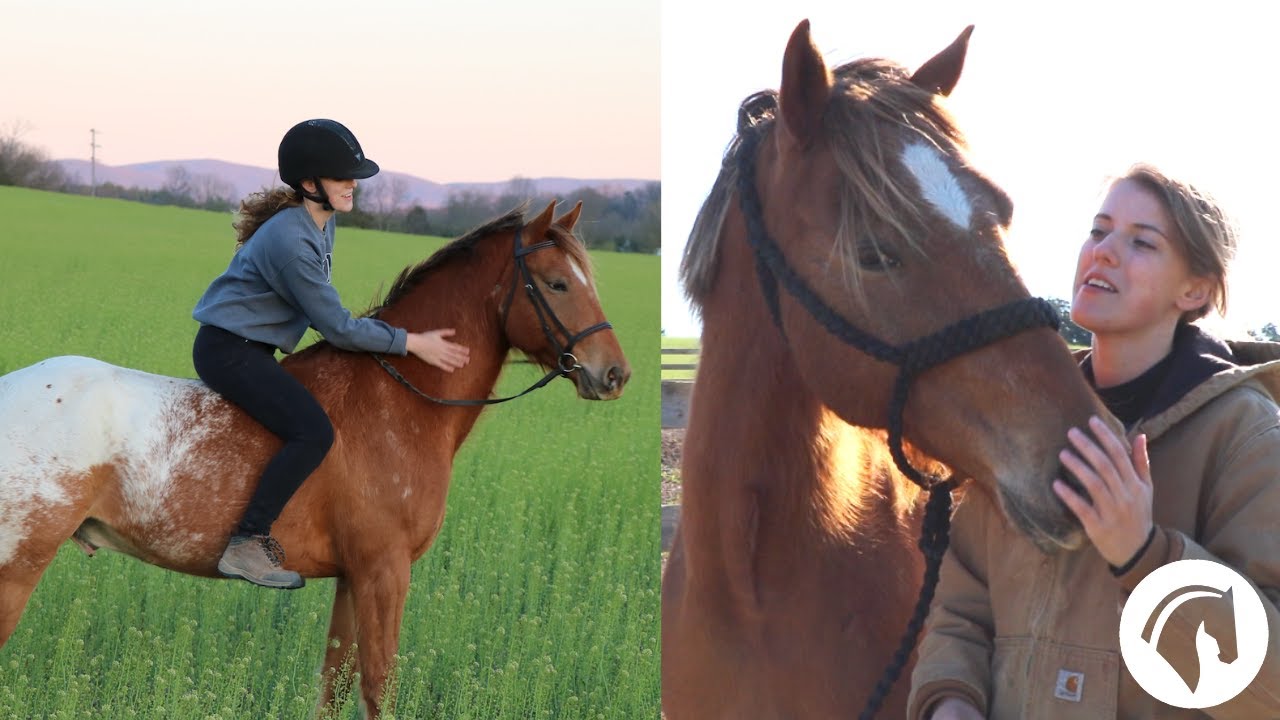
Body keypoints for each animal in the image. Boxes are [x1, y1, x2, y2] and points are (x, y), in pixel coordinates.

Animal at [0, 199, 630, 719]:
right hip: (16, 568)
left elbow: (337, 686)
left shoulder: (354, 578)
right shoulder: (384, 572)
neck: (399, 399)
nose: (614, 374)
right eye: (556, 283)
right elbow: (378, 688)